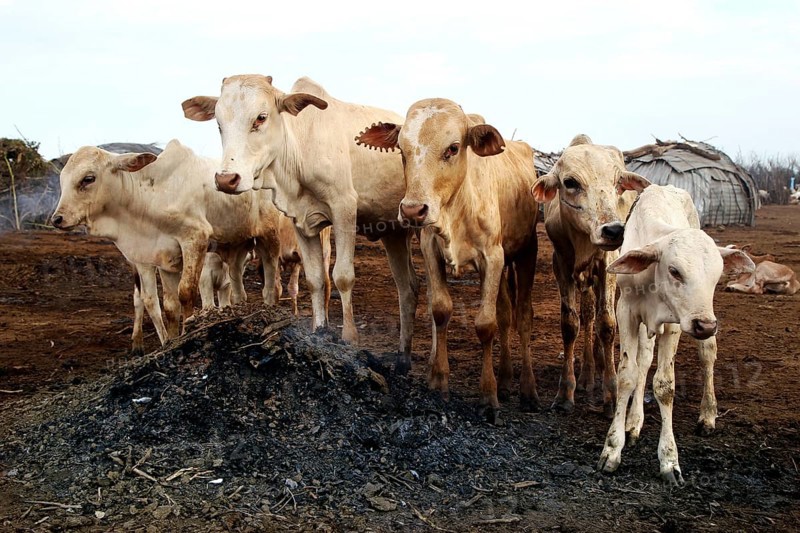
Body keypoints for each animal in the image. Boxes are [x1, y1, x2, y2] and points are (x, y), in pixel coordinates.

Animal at [52, 139, 284, 337]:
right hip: (237, 248)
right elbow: (170, 306)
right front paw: (171, 340)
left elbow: (186, 293)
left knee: (272, 286)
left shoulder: (194, 239)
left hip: (270, 239)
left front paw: (187, 330)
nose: (57, 219)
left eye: (88, 178)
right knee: (237, 288)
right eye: (62, 180)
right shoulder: (163, 256)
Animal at [182, 75, 420, 371]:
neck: (299, 149)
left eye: (261, 117)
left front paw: (349, 338)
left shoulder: (344, 208)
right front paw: (320, 331)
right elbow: (315, 280)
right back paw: (403, 357)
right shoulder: (302, 222)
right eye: (218, 123)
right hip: (394, 233)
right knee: (407, 289)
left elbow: (342, 277)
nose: (227, 179)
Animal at [356, 98, 539, 422]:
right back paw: (505, 381)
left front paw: (487, 396)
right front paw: (439, 381)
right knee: (506, 314)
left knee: (523, 317)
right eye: (401, 149)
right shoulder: (430, 248)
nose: (412, 210)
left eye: (453, 148)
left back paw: (527, 390)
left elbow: (486, 324)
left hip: (527, 252)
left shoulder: (492, 257)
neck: (458, 208)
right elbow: (441, 310)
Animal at [532, 135, 650, 417]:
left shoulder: (607, 264)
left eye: (618, 183)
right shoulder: (561, 265)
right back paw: (587, 374)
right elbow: (570, 324)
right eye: (570, 182)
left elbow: (606, 324)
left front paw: (611, 394)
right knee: (587, 317)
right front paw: (566, 393)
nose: (614, 230)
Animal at [597, 184, 754, 484]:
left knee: (707, 355)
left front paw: (669, 459)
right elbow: (628, 375)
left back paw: (708, 415)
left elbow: (665, 385)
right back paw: (634, 422)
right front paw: (613, 447)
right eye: (674, 271)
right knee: (644, 361)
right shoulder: (627, 312)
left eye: (717, 274)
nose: (704, 325)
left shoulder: (674, 322)